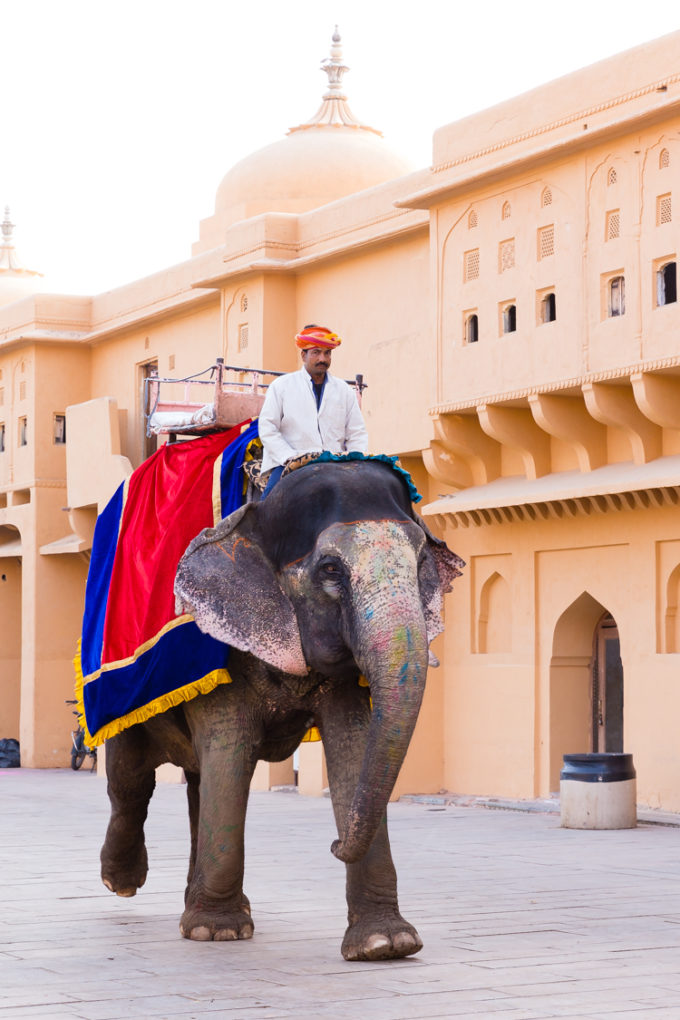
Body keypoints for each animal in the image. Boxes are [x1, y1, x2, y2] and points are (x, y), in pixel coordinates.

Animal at [99, 459, 462, 958]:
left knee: (197, 784)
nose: (333, 843)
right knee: (131, 779)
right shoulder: (222, 645)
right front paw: (217, 932)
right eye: (330, 569)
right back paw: (121, 882)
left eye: (423, 561)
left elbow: (353, 749)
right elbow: (230, 750)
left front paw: (387, 944)